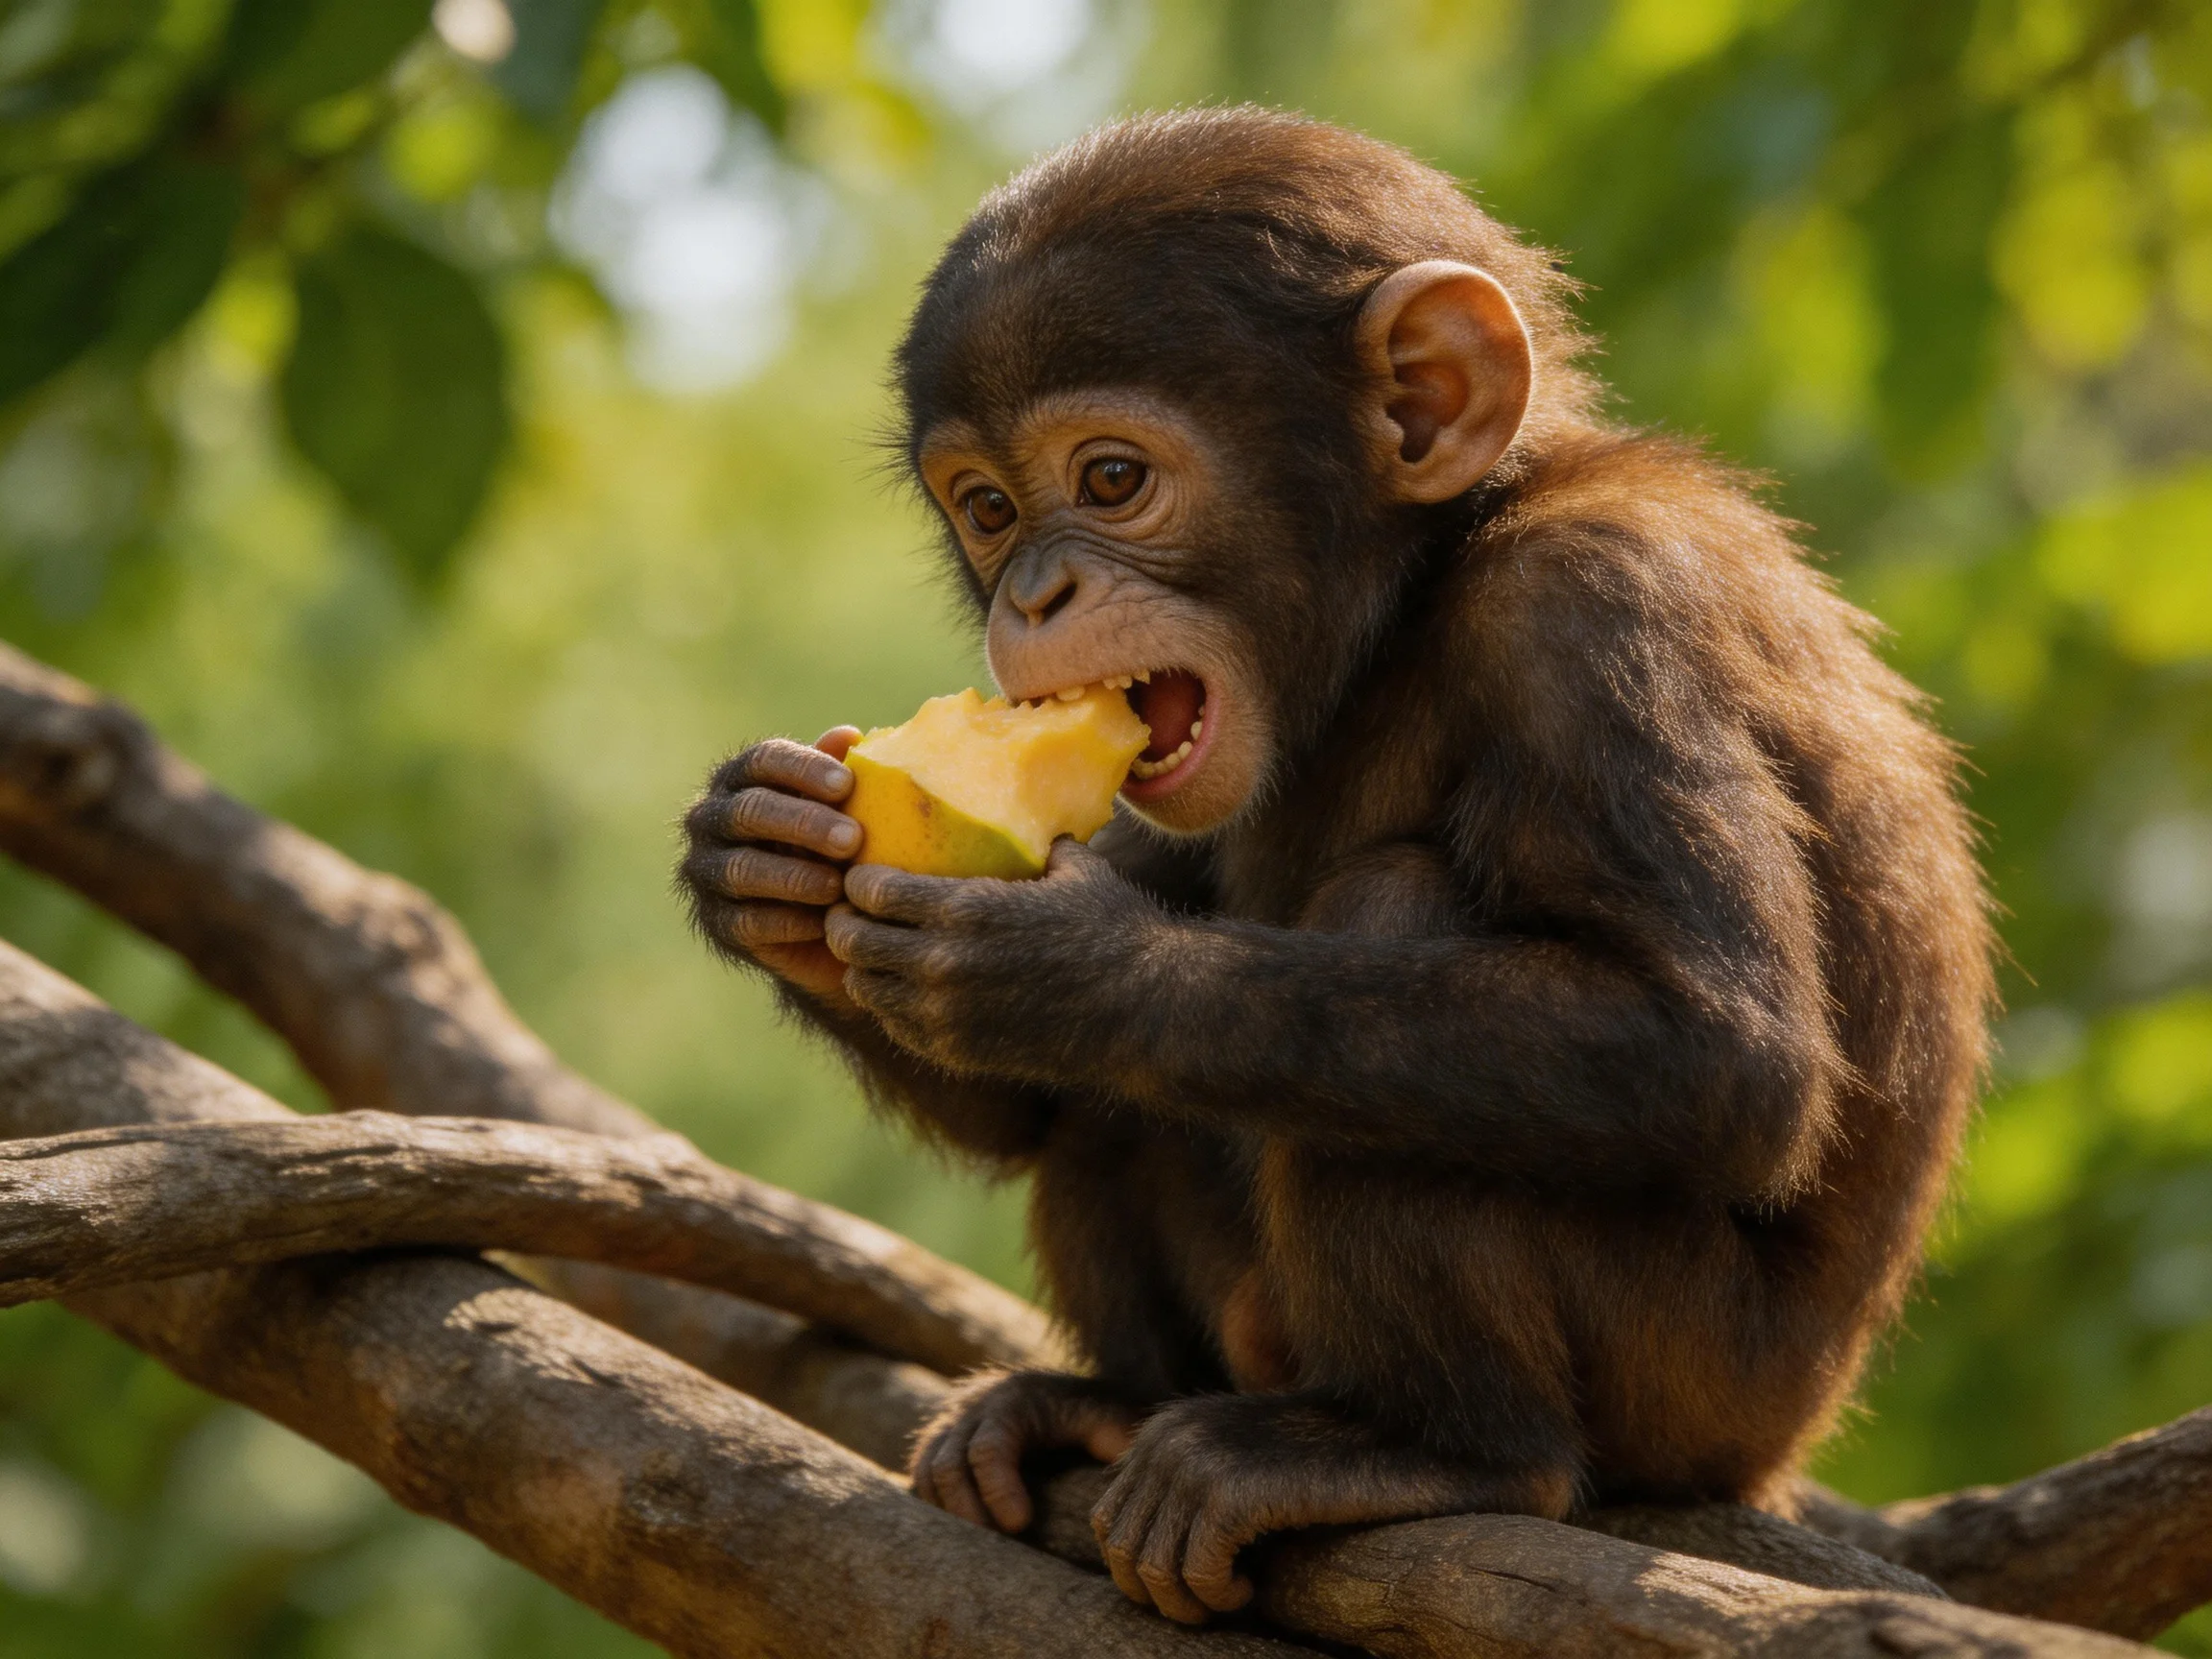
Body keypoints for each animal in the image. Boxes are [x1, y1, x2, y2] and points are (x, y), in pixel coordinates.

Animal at [678, 107, 1993, 1626]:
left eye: (1111, 480)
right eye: (990, 509)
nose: (1034, 595)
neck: (1416, 592)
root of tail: (1779, 1454)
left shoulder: (1600, 611)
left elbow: (1719, 1047)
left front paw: (1073, 970)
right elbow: (1022, 1107)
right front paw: (759, 854)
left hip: (1690, 1389)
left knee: (1402, 925)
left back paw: (1432, 1450)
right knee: (1111, 1118)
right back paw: (1106, 1405)